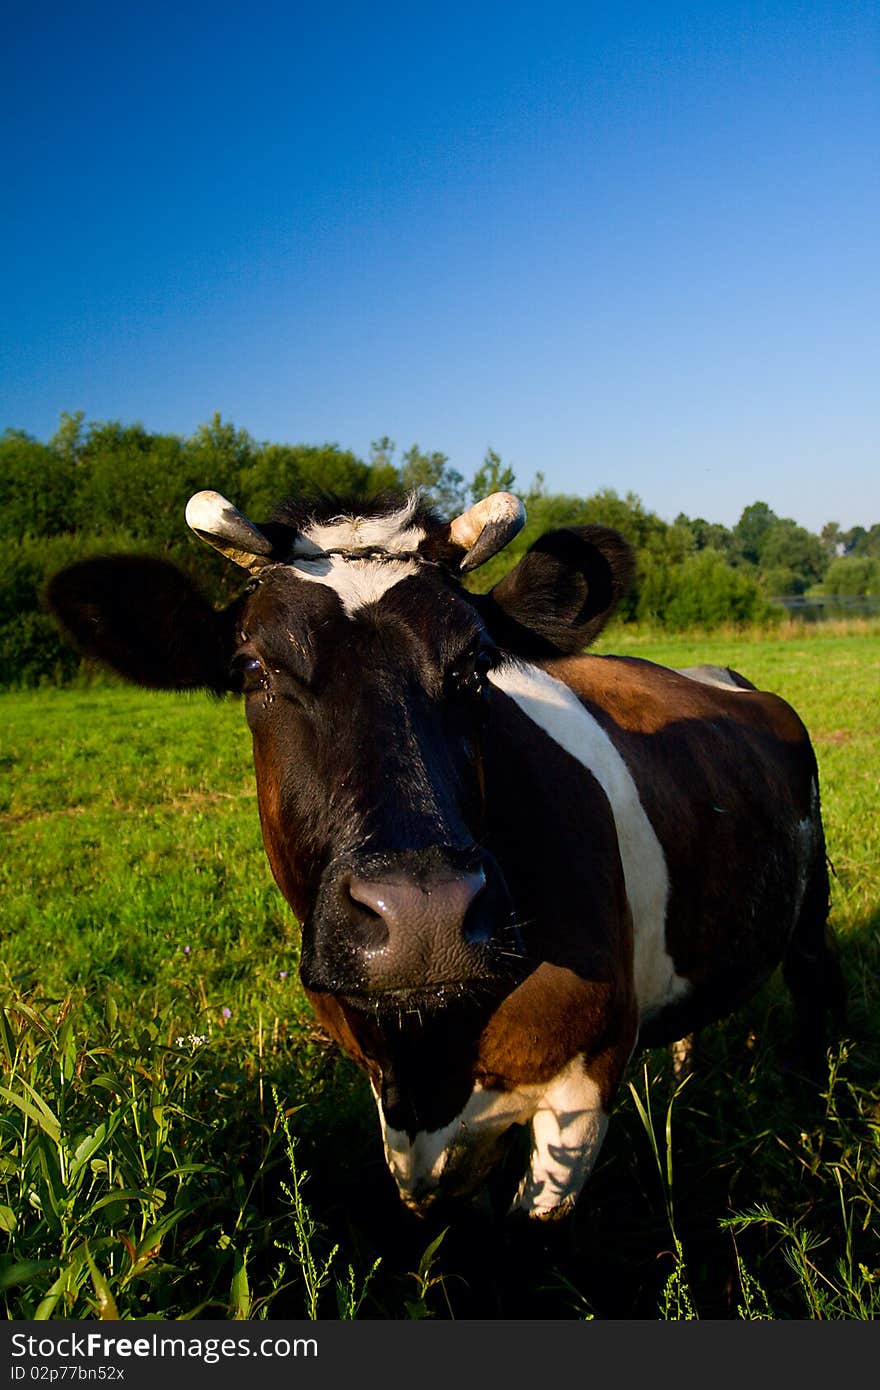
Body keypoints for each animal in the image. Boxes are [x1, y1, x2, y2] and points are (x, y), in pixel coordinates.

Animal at [47, 486, 845, 1217]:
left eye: (476, 664)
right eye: (252, 670)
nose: (422, 914)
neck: (431, 1060)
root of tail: (725, 676)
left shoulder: (584, 1085)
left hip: (813, 911)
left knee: (816, 993)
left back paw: (819, 1123)